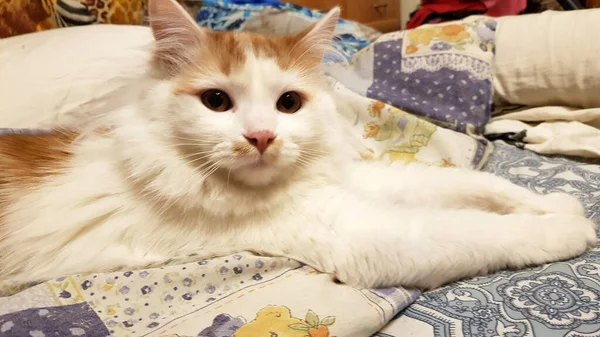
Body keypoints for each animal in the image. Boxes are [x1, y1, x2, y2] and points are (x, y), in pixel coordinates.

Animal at [0, 0, 596, 290]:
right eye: (216, 101)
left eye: (289, 104)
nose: (262, 136)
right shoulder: (363, 233)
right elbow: (482, 230)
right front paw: (569, 231)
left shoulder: (354, 180)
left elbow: (470, 184)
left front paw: (555, 204)